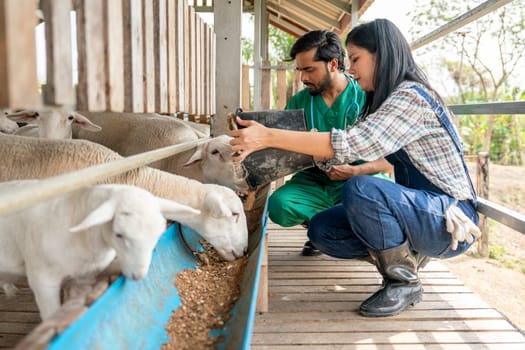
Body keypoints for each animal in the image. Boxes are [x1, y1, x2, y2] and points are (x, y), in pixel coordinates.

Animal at [0, 180, 203, 320]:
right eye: (119, 234)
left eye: (158, 234)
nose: (138, 276)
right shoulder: (42, 280)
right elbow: (51, 315)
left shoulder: (84, 277)